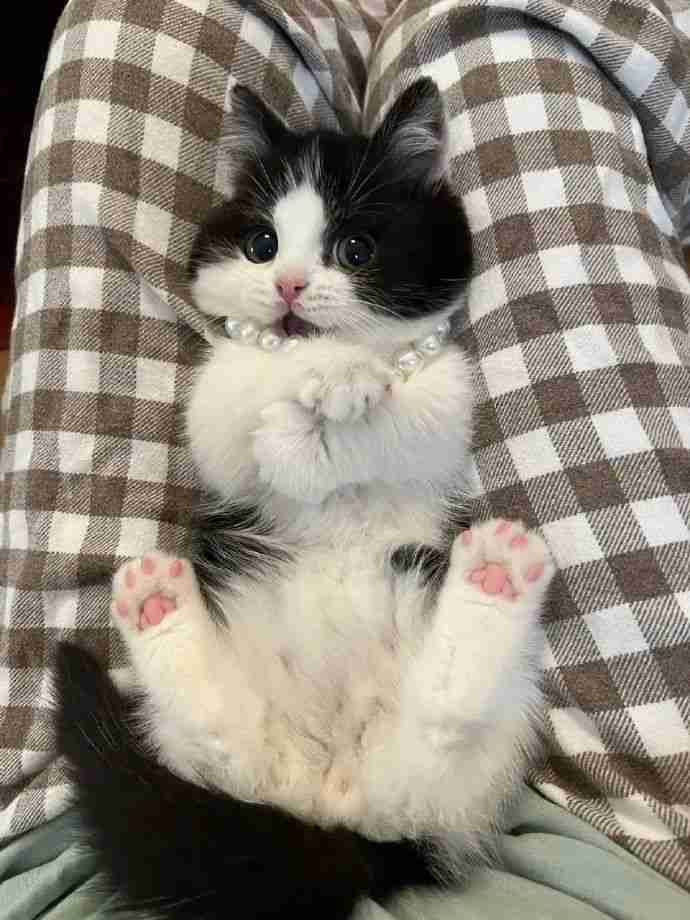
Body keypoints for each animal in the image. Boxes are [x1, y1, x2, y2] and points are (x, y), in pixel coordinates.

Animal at [54, 78, 554, 920]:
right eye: (261, 246)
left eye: (355, 250)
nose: (289, 285)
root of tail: (328, 807)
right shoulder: (215, 404)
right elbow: (240, 410)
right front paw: (302, 405)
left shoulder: (445, 396)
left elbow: (404, 415)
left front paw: (338, 392)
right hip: (230, 730)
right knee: (225, 741)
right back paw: (157, 607)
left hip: (470, 723)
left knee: (443, 730)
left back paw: (494, 578)